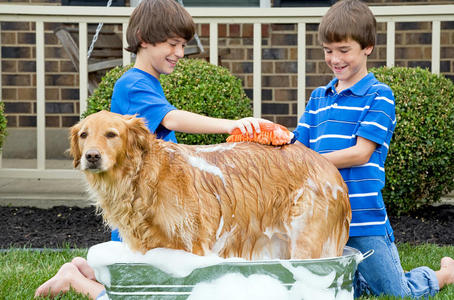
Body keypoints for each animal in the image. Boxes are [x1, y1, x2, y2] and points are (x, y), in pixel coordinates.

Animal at [69, 110, 352, 260]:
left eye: (111, 134)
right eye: (84, 134)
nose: (91, 156)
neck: (145, 177)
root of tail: (326, 164)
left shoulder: (194, 245)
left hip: (308, 242)